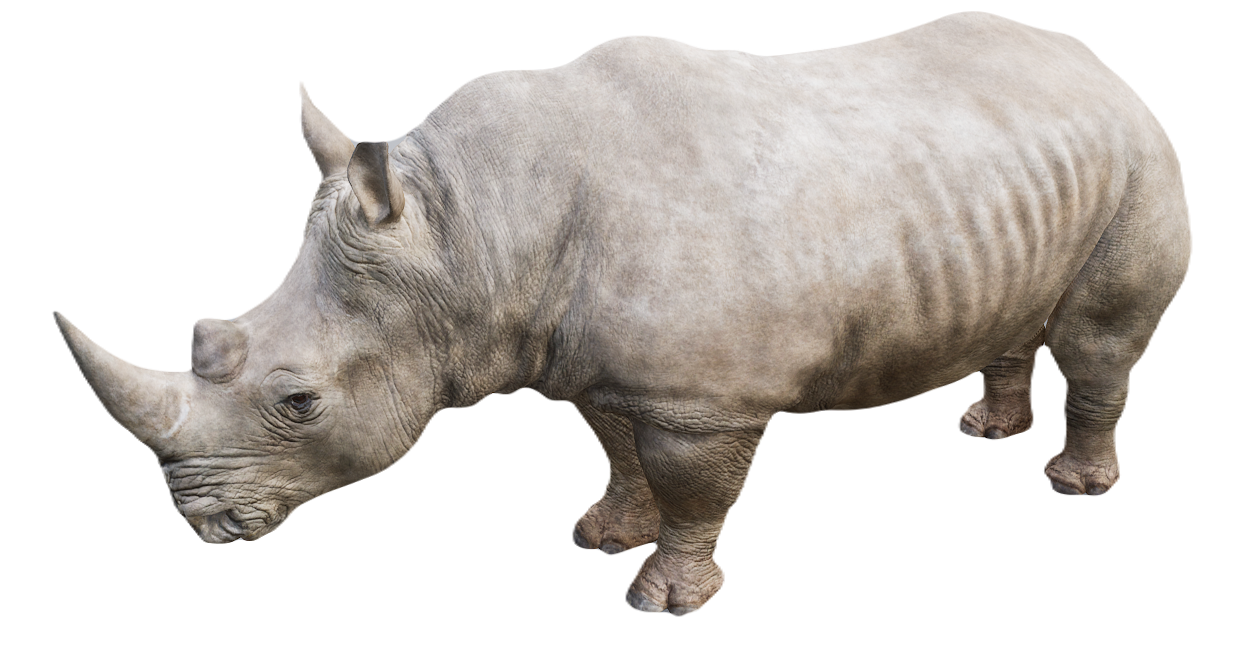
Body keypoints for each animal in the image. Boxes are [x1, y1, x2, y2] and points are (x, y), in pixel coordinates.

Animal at [54, 12, 1189, 615]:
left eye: (299, 402)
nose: (204, 527)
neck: (470, 227)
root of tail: (1094, 61)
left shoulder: (703, 399)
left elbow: (691, 486)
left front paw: (664, 595)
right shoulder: (590, 362)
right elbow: (616, 452)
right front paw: (602, 535)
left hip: (1139, 160)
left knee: (1099, 338)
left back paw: (1073, 484)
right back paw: (983, 430)